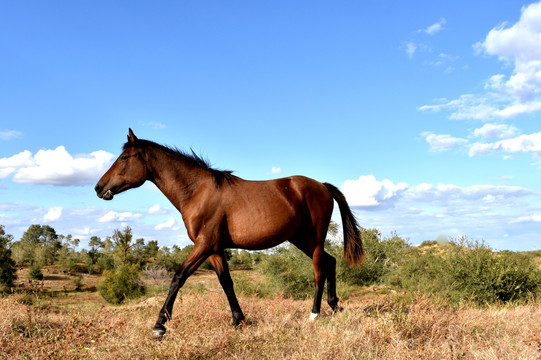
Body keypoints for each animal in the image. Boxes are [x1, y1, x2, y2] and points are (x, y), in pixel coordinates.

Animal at [94, 129, 362, 338]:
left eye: (124, 157)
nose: (99, 187)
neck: (197, 191)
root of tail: (322, 186)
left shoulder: (203, 245)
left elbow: (178, 277)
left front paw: (159, 325)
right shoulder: (213, 249)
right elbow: (226, 282)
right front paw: (238, 319)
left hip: (313, 238)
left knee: (319, 271)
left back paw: (314, 313)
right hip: (299, 239)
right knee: (330, 262)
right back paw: (334, 306)